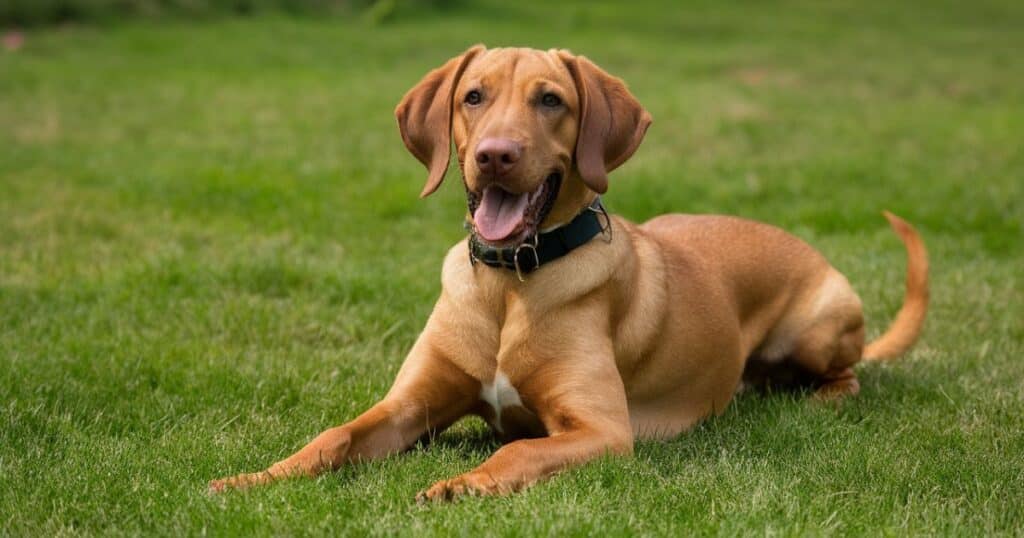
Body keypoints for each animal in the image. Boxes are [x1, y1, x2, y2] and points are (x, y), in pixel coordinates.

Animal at [207, 45, 929, 500]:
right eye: (473, 96)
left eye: (551, 100)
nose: (497, 155)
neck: (509, 283)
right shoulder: (408, 406)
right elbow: (333, 436)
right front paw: (251, 479)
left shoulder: (600, 431)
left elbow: (516, 449)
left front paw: (465, 483)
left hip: (819, 326)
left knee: (846, 375)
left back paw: (818, 396)